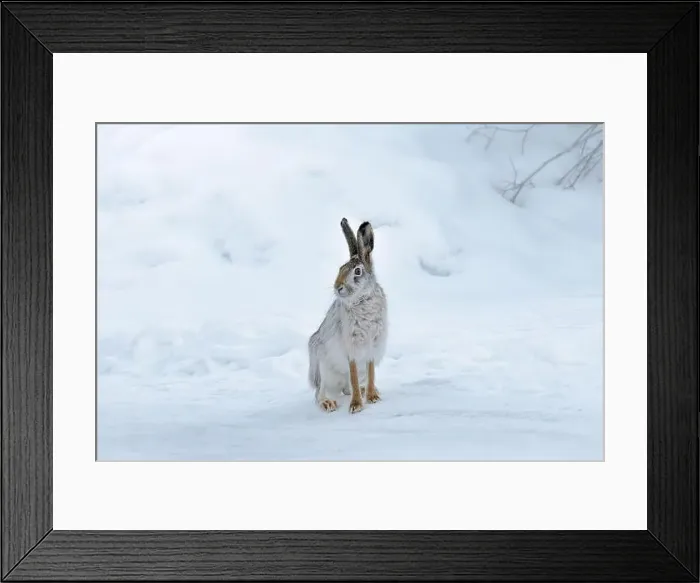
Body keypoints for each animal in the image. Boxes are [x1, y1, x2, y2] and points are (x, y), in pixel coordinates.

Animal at [308, 218, 388, 414]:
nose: (338, 287)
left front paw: (372, 397)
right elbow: (352, 374)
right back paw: (328, 403)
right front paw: (356, 405)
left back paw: (366, 389)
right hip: (322, 366)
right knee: (320, 393)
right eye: (340, 269)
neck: (362, 299)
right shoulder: (351, 346)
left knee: (348, 387)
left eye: (357, 272)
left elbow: (371, 372)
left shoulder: (372, 346)